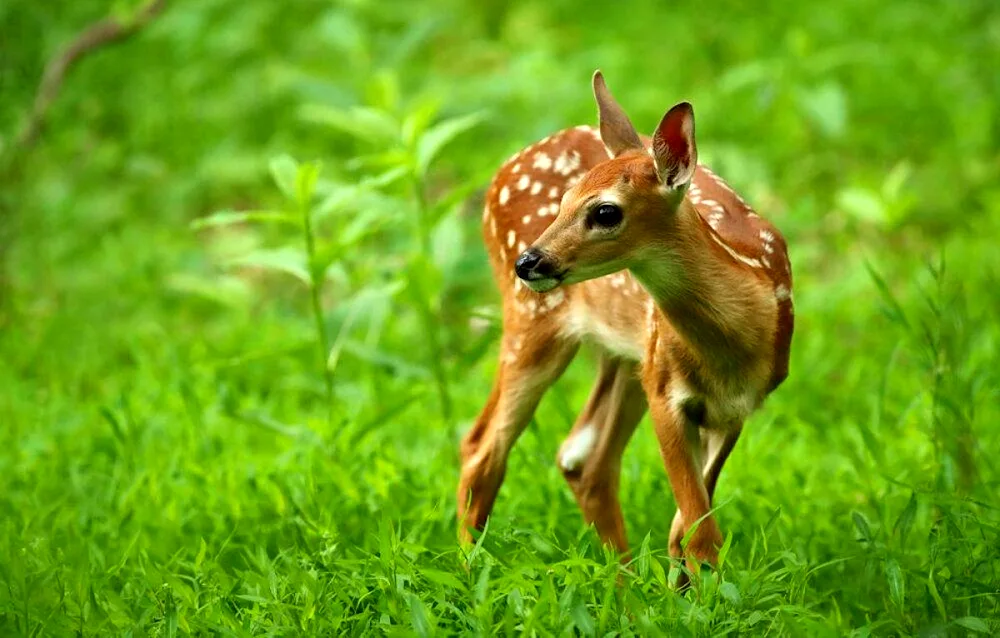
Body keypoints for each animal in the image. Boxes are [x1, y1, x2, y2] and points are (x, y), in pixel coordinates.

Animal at [458, 71, 792, 580]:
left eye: (605, 211)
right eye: (564, 201)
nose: (529, 262)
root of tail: (498, 174)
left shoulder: (736, 408)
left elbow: (686, 527)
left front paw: (683, 588)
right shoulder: (666, 392)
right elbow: (700, 536)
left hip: (623, 354)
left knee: (583, 458)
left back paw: (625, 583)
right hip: (535, 324)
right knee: (481, 446)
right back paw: (469, 572)